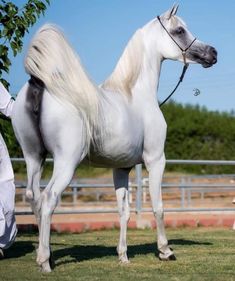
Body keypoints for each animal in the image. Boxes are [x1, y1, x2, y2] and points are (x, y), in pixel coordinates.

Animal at [11, 4, 217, 272]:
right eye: (179, 30)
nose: (212, 53)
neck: (135, 94)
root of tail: (38, 83)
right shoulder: (155, 160)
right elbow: (158, 207)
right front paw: (165, 251)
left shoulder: (121, 168)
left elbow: (124, 212)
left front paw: (123, 256)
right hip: (65, 162)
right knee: (48, 200)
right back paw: (45, 262)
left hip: (34, 158)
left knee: (33, 199)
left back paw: (48, 256)